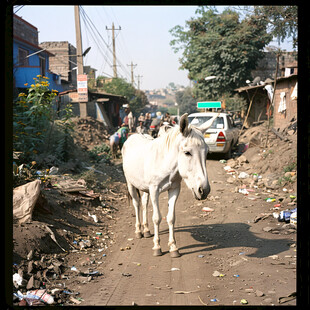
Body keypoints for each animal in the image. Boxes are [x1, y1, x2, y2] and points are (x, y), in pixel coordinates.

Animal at [122, 113, 219, 256]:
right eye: (187, 152)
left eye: (206, 152)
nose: (204, 190)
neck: (165, 162)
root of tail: (132, 136)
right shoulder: (154, 190)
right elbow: (157, 218)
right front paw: (157, 247)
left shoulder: (174, 189)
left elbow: (171, 218)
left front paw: (173, 247)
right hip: (130, 184)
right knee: (136, 204)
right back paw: (139, 231)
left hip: (144, 188)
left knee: (144, 204)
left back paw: (146, 230)